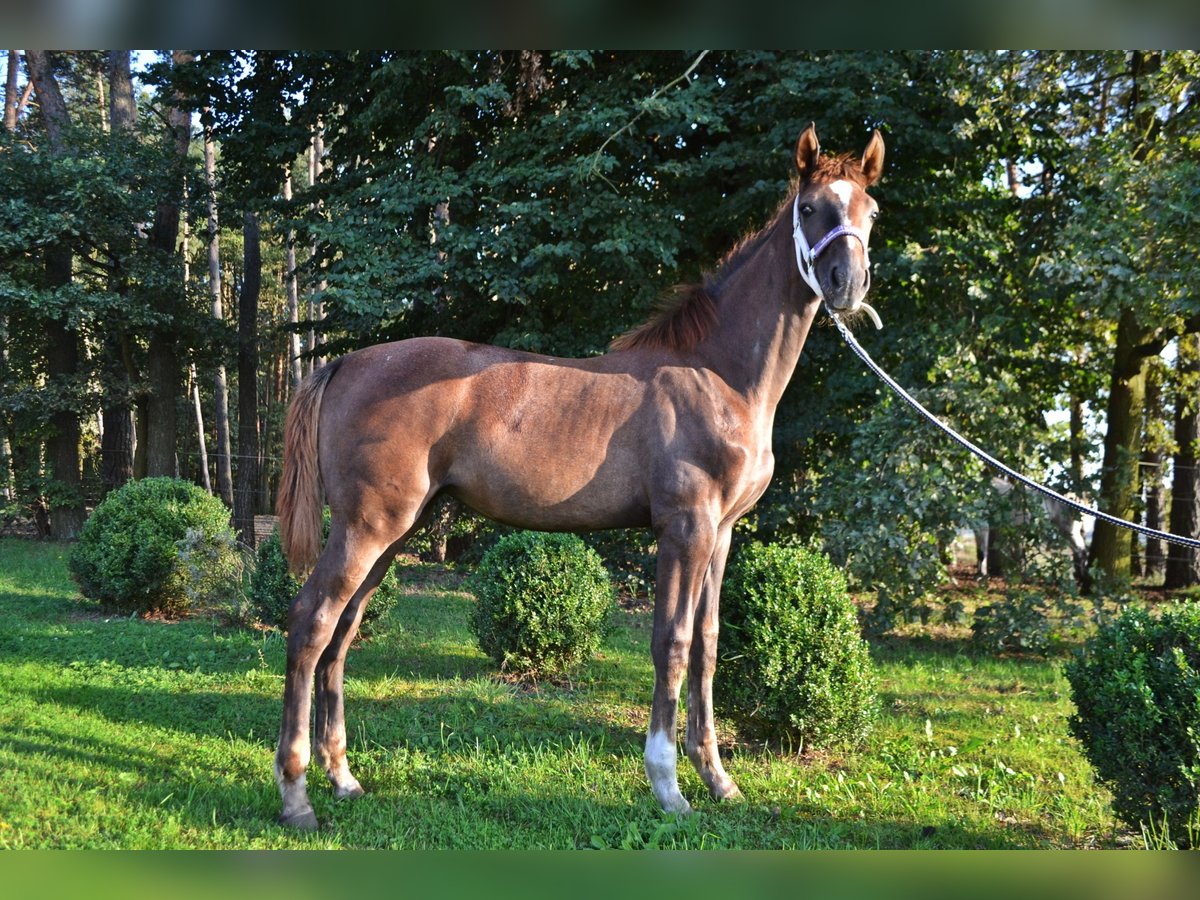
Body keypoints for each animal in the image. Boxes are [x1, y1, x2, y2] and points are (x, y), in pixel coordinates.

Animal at [272, 123, 888, 830]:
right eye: (810, 208)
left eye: (870, 212)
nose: (847, 282)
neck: (719, 374)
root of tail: (344, 363)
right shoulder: (685, 528)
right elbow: (672, 643)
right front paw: (668, 785)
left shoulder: (723, 532)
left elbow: (706, 646)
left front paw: (718, 779)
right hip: (366, 528)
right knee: (311, 623)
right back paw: (295, 794)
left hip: (392, 533)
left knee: (341, 636)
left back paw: (342, 778)